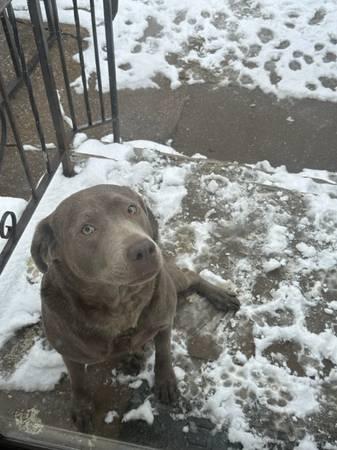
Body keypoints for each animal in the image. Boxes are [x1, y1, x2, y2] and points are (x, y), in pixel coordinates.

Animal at [30, 184, 238, 432]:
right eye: (87, 229)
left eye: (131, 209)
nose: (144, 249)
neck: (122, 305)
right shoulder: (68, 350)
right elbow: (77, 380)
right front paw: (81, 407)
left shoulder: (163, 321)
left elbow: (164, 353)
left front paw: (166, 381)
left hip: (173, 278)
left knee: (192, 276)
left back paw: (220, 296)